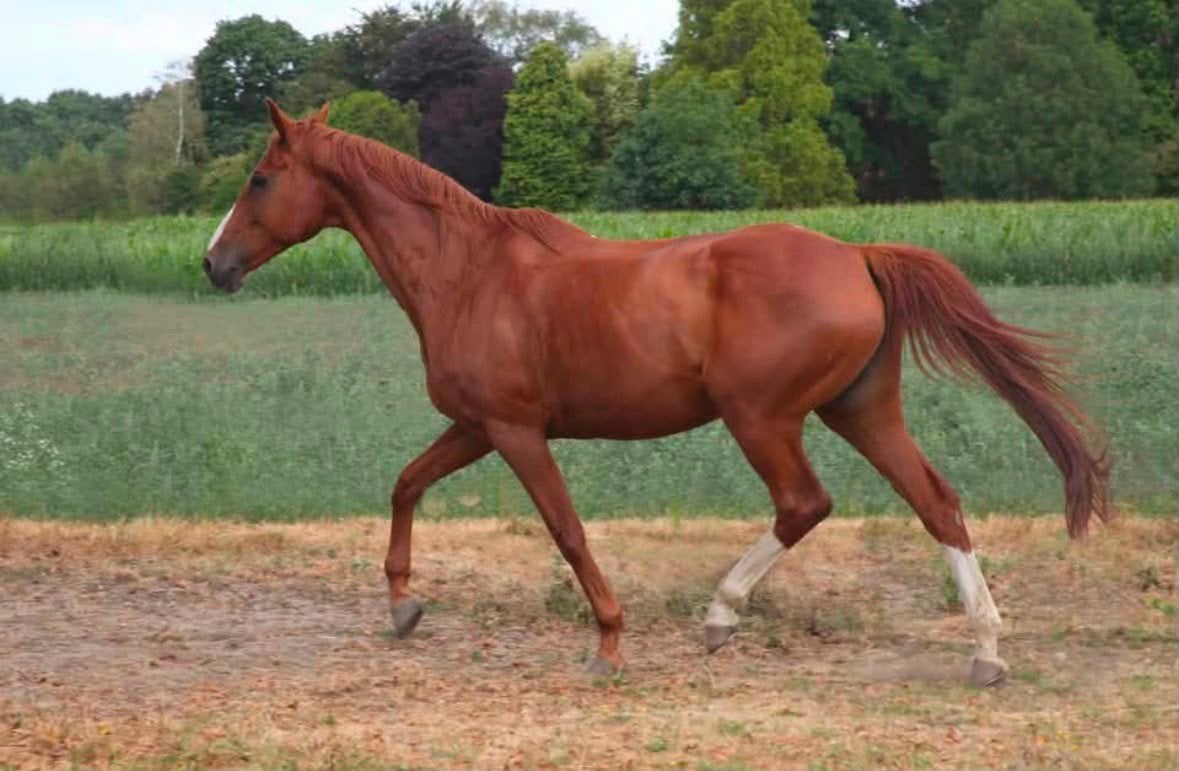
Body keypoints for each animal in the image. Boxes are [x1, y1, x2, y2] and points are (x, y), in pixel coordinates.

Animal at [203, 99, 1109, 686]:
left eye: (259, 178)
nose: (213, 264)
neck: (468, 273)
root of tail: (857, 254)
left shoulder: (514, 429)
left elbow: (567, 531)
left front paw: (607, 647)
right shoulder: (474, 425)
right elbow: (404, 484)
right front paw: (402, 608)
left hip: (762, 417)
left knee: (804, 503)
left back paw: (720, 614)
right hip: (860, 409)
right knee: (938, 503)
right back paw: (985, 651)